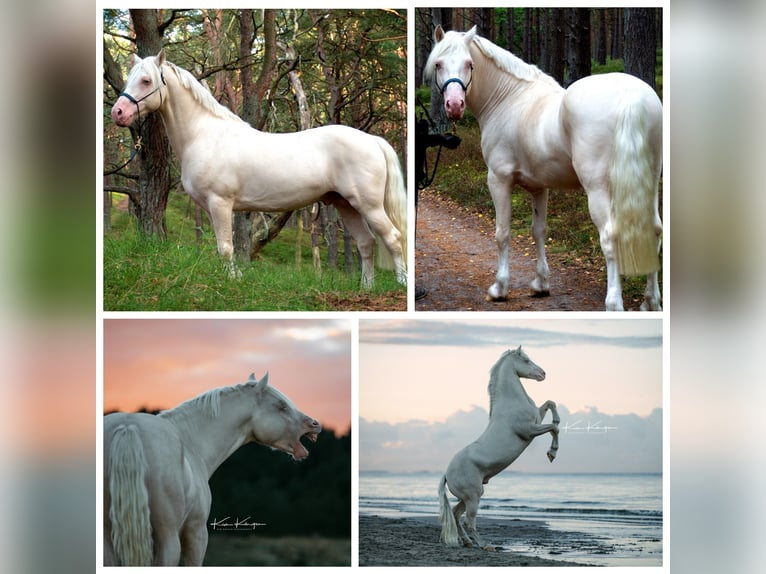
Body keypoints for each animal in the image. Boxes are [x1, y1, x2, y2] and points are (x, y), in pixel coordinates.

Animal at [103, 372, 321, 566]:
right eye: (282, 406)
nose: (315, 424)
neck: (190, 443)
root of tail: (128, 428)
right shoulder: (196, 532)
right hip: (168, 538)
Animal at [110, 50, 407, 288]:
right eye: (129, 79)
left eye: (146, 80)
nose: (118, 113)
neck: (204, 134)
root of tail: (372, 140)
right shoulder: (210, 208)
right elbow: (222, 246)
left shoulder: (220, 202)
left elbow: (226, 248)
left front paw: (231, 280)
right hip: (346, 204)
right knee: (366, 243)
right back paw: (366, 288)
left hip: (368, 205)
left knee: (393, 238)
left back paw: (402, 283)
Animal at [424, 26, 662, 311]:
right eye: (439, 64)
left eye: (469, 64)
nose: (454, 105)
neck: (508, 99)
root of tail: (630, 96)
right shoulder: (539, 187)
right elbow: (538, 231)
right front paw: (541, 284)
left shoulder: (498, 180)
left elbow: (502, 233)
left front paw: (499, 288)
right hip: (649, 182)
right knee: (654, 230)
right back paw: (650, 302)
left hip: (599, 189)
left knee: (609, 236)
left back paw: (614, 302)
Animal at [438, 347, 559, 550]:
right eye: (526, 360)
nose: (543, 374)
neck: (511, 403)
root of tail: (447, 474)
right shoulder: (529, 431)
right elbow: (554, 428)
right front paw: (552, 453)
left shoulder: (537, 419)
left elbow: (551, 403)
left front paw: (557, 422)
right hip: (473, 496)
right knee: (468, 521)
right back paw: (485, 545)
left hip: (469, 496)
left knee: (455, 514)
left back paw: (468, 542)